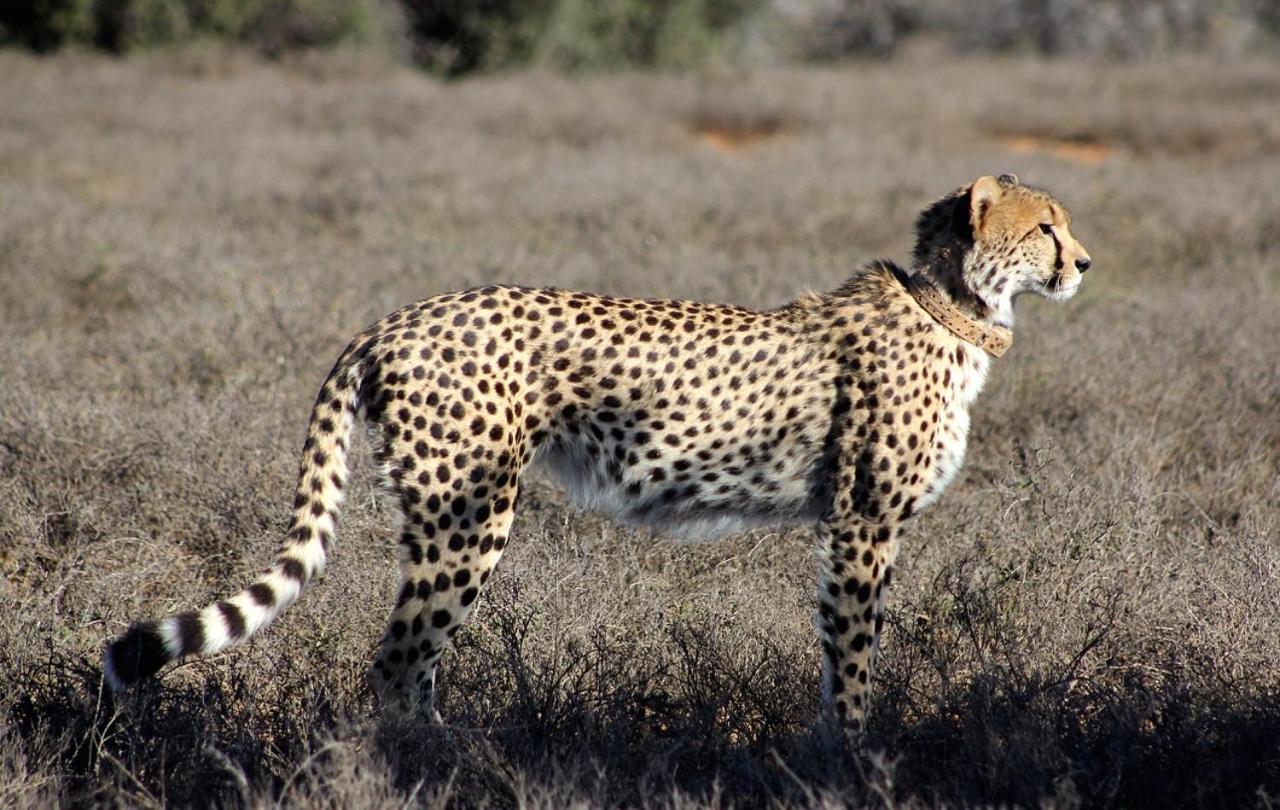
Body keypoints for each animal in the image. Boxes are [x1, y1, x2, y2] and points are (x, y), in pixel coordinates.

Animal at [104, 174, 1095, 731]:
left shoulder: (853, 526)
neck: (955, 308)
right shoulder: (862, 524)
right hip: (468, 517)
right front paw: (854, 763)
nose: (1085, 263)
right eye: (1046, 226)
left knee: (410, 662)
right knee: (397, 662)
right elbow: (851, 661)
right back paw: (431, 769)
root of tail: (397, 317)